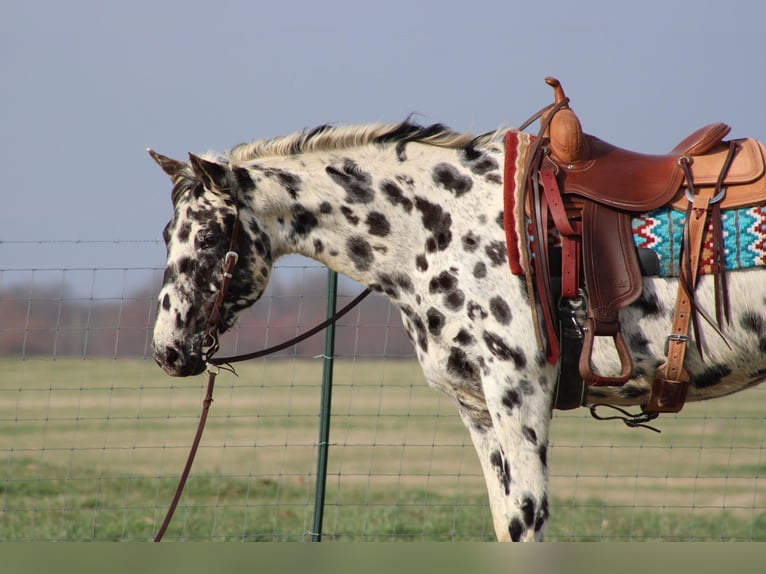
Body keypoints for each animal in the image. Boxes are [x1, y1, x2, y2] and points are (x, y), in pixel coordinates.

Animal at [148, 79, 766, 544]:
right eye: (166, 234)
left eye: (207, 237)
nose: (167, 351)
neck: (443, 224)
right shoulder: (477, 410)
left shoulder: (518, 395)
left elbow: (527, 521)